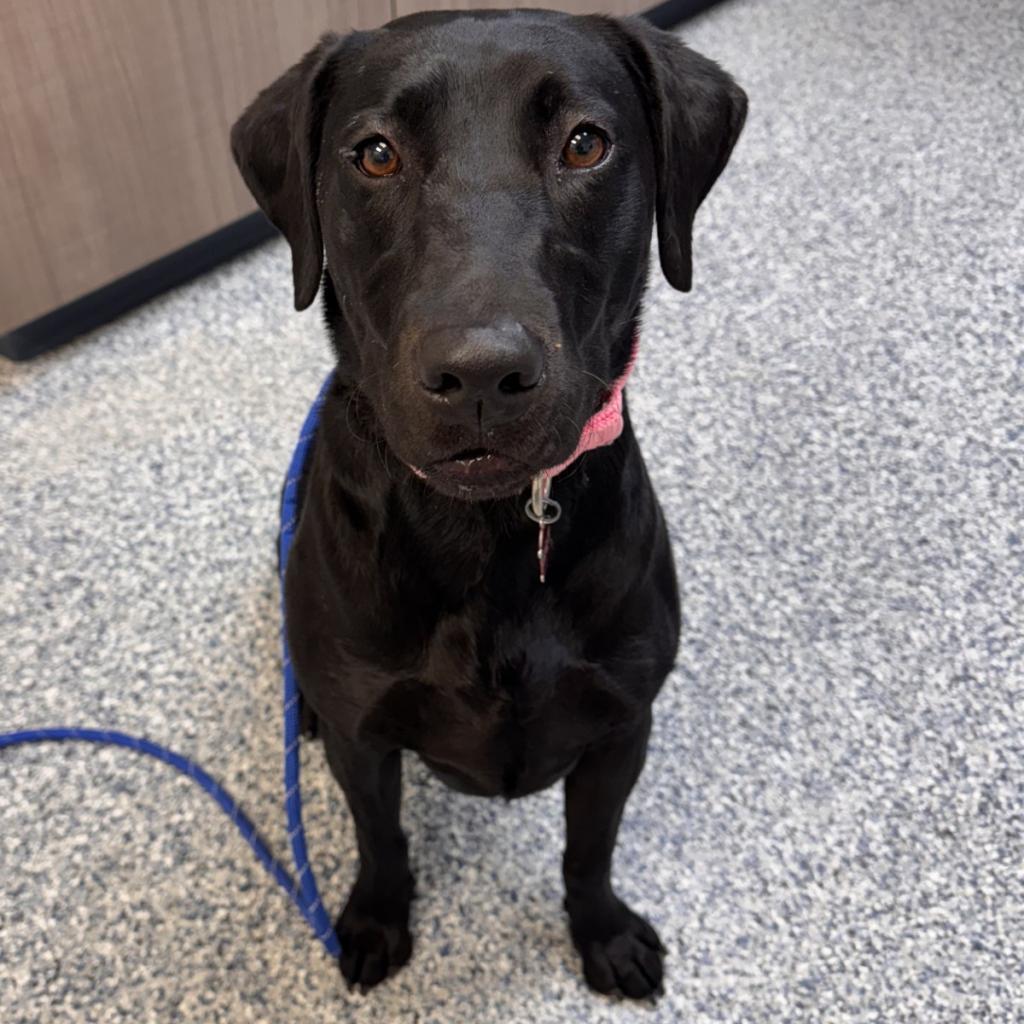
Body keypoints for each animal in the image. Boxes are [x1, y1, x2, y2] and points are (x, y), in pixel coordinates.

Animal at [232, 8, 745, 999]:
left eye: (584, 143)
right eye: (376, 154)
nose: (478, 374)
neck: (488, 533)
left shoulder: (620, 728)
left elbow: (589, 851)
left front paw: (602, 933)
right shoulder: (366, 742)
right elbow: (381, 838)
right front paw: (376, 918)